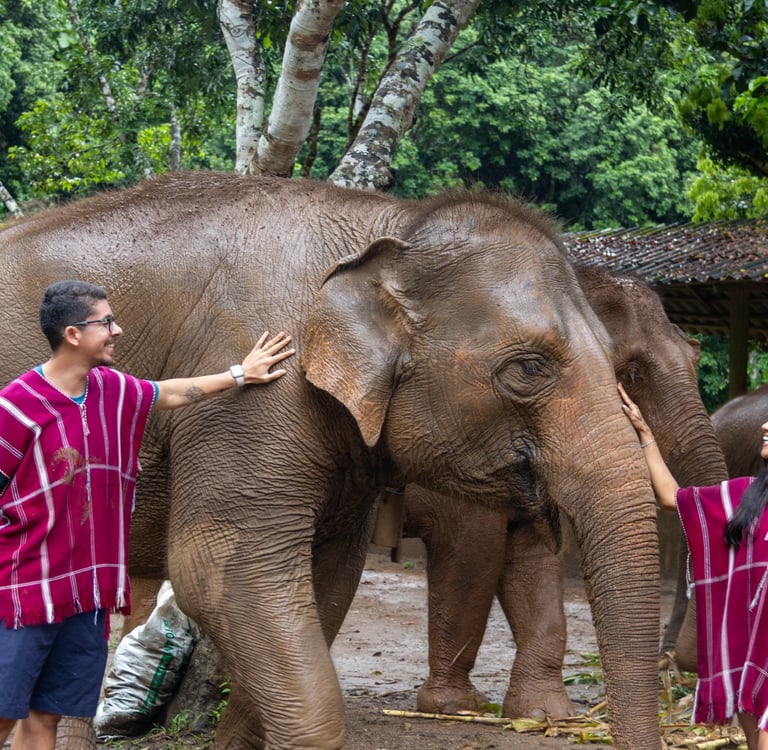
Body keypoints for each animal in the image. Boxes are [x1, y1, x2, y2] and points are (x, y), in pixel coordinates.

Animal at [0, 172, 661, 750]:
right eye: (529, 368)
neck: (389, 225)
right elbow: (219, 571)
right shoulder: (249, 402)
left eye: (619, 365)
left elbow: (329, 578)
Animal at [402, 265, 728, 719]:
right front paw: (455, 705)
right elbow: (473, 551)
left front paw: (543, 714)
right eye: (631, 373)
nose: (675, 668)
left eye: (695, 356)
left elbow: (533, 557)